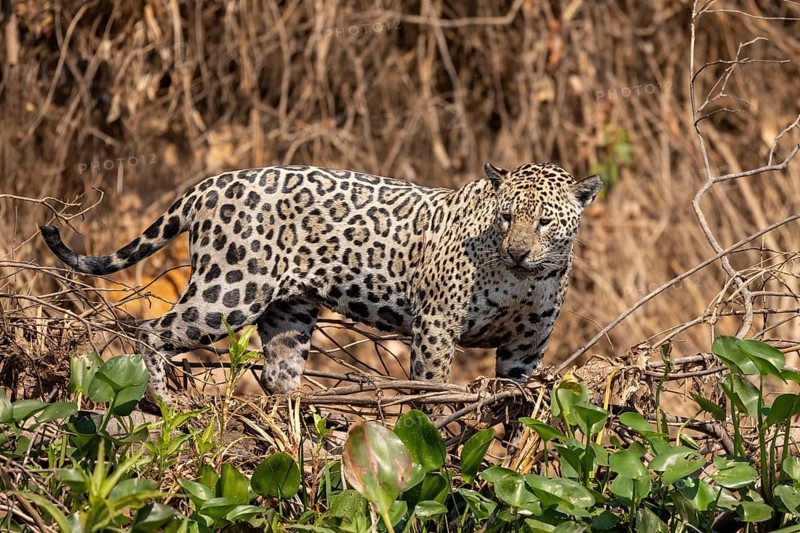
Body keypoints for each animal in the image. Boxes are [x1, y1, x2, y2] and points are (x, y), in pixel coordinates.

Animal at [41, 162, 601, 405]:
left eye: (544, 222)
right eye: (506, 219)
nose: (518, 250)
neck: (524, 279)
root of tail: (208, 185)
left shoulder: (526, 347)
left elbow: (517, 397)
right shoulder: (437, 325)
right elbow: (431, 388)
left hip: (288, 312)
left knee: (278, 374)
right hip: (230, 290)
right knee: (152, 331)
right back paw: (161, 401)